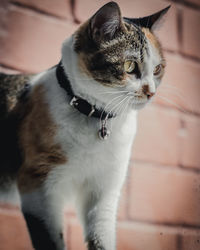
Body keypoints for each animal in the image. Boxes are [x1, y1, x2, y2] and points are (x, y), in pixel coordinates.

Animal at [0, 1, 170, 250]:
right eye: (130, 66)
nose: (151, 92)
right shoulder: (37, 188)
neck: (97, 117)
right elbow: (52, 239)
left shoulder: (104, 193)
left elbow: (101, 237)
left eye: (157, 69)